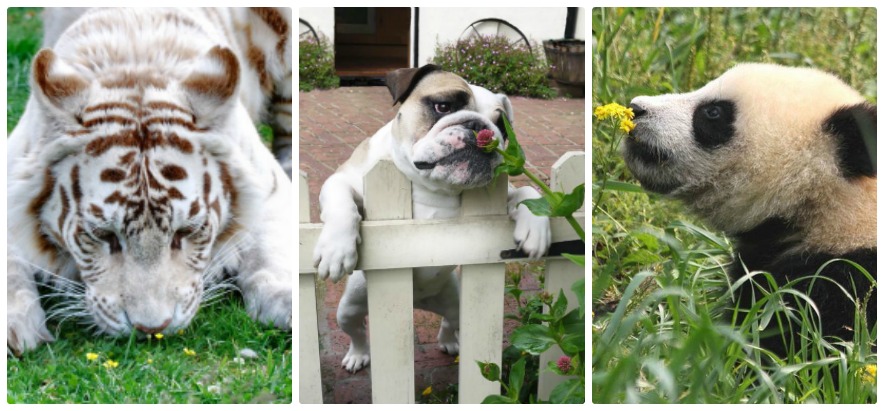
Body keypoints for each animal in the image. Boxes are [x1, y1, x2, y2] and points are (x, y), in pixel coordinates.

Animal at [6, 7, 294, 358]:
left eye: (187, 232)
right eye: (103, 235)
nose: (151, 329)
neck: (134, 63)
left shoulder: (268, 187)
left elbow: (270, 250)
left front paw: (288, 302)